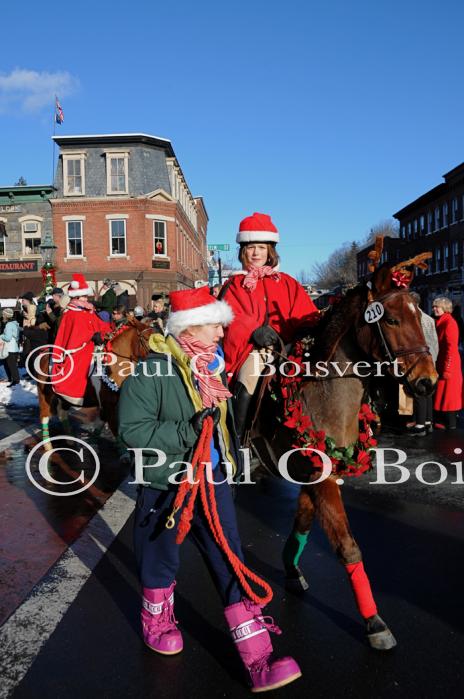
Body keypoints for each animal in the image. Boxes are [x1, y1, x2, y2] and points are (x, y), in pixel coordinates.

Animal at [36, 320, 155, 452]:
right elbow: (115, 428)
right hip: (45, 394)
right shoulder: (108, 405)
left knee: (62, 413)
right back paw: (48, 446)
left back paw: (69, 439)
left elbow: (102, 422)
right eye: (147, 339)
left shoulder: (109, 406)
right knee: (44, 416)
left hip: (64, 397)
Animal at [250, 252, 436, 652]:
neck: (323, 391)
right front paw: (373, 621)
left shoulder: (318, 472)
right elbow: (348, 546)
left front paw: (291, 569)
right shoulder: (320, 476)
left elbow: (304, 522)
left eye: (422, 316)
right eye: (392, 319)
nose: (427, 382)